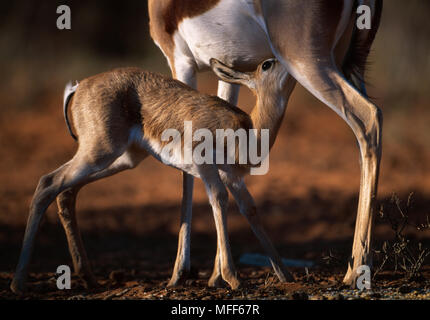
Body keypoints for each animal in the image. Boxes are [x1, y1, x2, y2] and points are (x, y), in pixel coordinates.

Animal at [11, 57, 298, 292]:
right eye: (267, 64)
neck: (247, 131)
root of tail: (79, 86)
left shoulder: (233, 177)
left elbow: (250, 210)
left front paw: (285, 275)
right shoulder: (206, 167)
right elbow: (218, 199)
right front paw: (233, 279)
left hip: (124, 159)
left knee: (67, 192)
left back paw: (88, 278)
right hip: (99, 153)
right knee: (47, 183)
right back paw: (18, 282)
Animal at [149, 0, 384, 288]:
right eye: (265, 65)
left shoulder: (180, 62)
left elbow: (187, 174)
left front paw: (179, 273)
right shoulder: (226, 71)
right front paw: (216, 275)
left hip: (307, 63)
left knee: (370, 116)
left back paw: (355, 272)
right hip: (346, 63)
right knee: (364, 136)